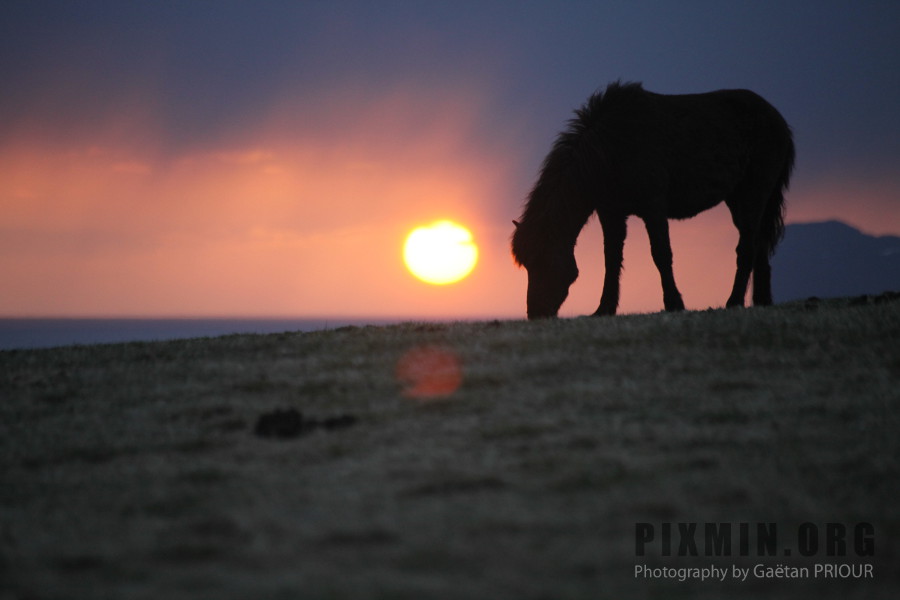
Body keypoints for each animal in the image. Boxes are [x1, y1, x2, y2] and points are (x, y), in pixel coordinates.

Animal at [512, 83, 796, 324]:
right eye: (526, 264)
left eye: (542, 260)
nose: (535, 312)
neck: (612, 148)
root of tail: (777, 118)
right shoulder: (612, 213)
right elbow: (611, 259)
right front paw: (604, 308)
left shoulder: (654, 208)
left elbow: (661, 254)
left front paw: (674, 303)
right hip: (740, 199)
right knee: (759, 244)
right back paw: (761, 301)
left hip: (753, 194)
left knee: (746, 247)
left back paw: (734, 302)